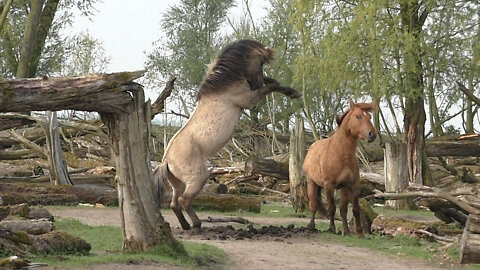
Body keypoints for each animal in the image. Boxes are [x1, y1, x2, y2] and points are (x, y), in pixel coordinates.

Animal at [156, 39, 300, 230]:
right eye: (261, 63)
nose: (255, 83)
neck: (222, 88)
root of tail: (166, 161)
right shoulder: (249, 99)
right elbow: (270, 87)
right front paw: (293, 92)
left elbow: (271, 83)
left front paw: (292, 92)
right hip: (199, 178)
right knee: (183, 201)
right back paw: (196, 224)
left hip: (178, 183)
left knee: (174, 203)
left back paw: (186, 225)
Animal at [302, 100, 376, 236]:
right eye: (358, 116)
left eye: (369, 116)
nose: (372, 134)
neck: (341, 154)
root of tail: (312, 147)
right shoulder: (329, 186)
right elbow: (332, 208)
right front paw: (332, 228)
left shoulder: (350, 186)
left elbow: (351, 209)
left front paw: (355, 232)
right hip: (311, 183)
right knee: (313, 204)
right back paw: (311, 225)